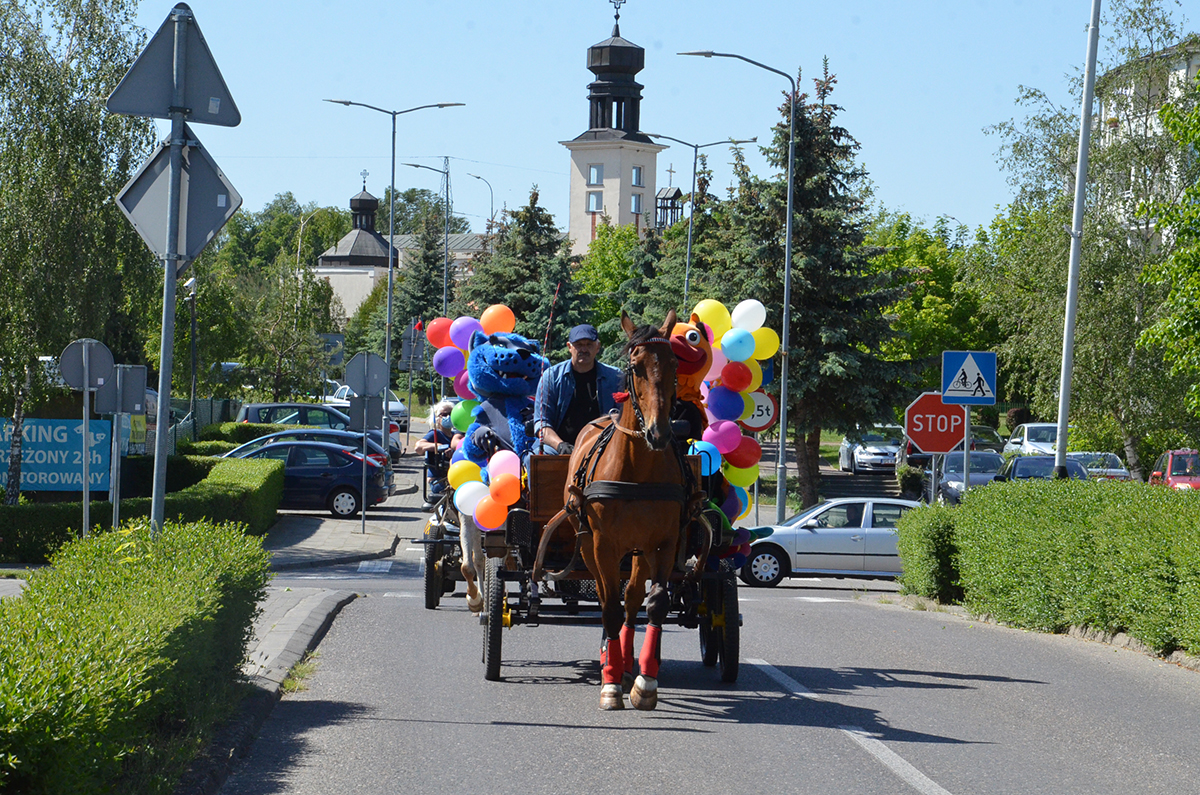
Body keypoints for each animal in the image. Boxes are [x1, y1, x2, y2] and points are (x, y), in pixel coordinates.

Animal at [564, 307, 700, 710]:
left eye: (674, 363)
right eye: (636, 366)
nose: (659, 432)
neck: (639, 468)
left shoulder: (665, 543)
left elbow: (654, 604)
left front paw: (645, 681)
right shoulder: (603, 545)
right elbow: (608, 606)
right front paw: (610, 683)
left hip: (639, 551)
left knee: (632, 599)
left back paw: (625, 664)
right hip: (591, 547)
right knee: (609, 598)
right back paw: (611, 663)